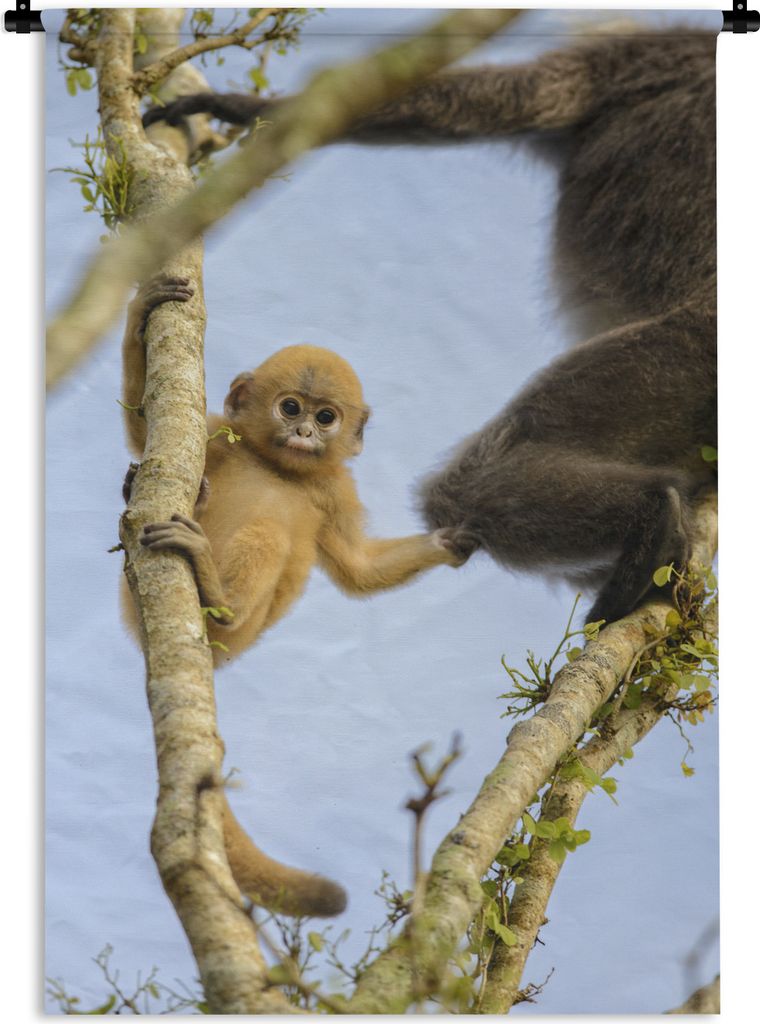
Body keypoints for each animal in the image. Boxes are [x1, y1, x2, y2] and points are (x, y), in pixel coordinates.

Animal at [121, 275, 467, 917]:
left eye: (326, 417)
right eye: (290, 407)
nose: (304, 432)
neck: (280, 468)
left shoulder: (335, 489)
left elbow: (358, 570)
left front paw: (448, 542)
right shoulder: (218, 434)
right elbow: (143, 435)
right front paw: (141, 310)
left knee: (273, 535)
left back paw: (215, 594)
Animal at [143, 28, 717, 624]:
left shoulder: (630, 54)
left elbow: (479, 101)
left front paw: (237, 105)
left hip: (676, 356)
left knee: (468, 487)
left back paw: (653, 522)